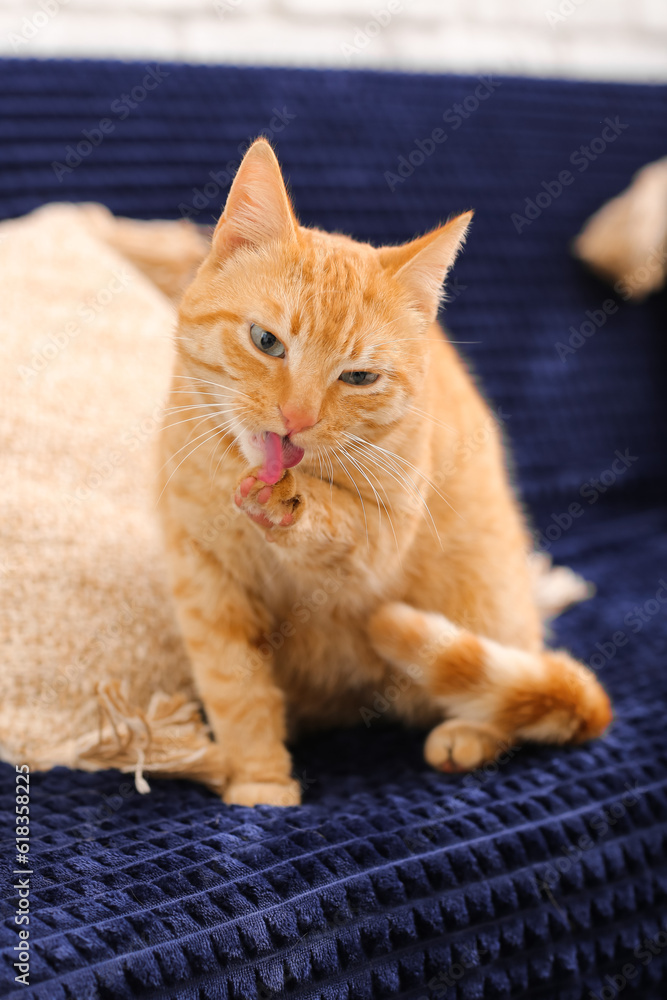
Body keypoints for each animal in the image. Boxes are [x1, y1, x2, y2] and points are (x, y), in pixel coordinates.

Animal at [159, 139, 612, 804]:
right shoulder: (204, 580)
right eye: (266, 341)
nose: (296, 419)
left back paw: (467, 734)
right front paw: (259, 780)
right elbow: (236, 690)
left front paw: (290, 501)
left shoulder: (381, 541)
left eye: (358, 377)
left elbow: (339, 522)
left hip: (487, 603)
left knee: (521, 692)